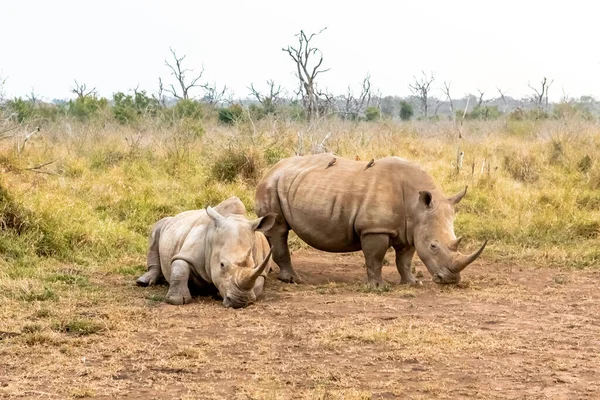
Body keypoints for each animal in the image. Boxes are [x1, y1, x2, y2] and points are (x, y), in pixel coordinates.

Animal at [137, 195, 276, 308]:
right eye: (222, 264)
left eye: (253, 265)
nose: (240, 301)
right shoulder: (187, 253)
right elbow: (180, 267)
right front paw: (177, 300)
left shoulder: (260, 270)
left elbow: (257, 284)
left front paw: (220, 293)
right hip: (167, 222)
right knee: (157, 228)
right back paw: (143, 282)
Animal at [255, 155, 486, 286]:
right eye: (433, 246)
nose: (451, 281)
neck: (416, 205)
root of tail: (270, 169)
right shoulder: (375, 228)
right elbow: (375, 258)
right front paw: (379, 287)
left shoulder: (410, 230)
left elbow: (405, 260)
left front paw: (412, 283)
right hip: (271, 185)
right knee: (279, 230)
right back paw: (293, 280)